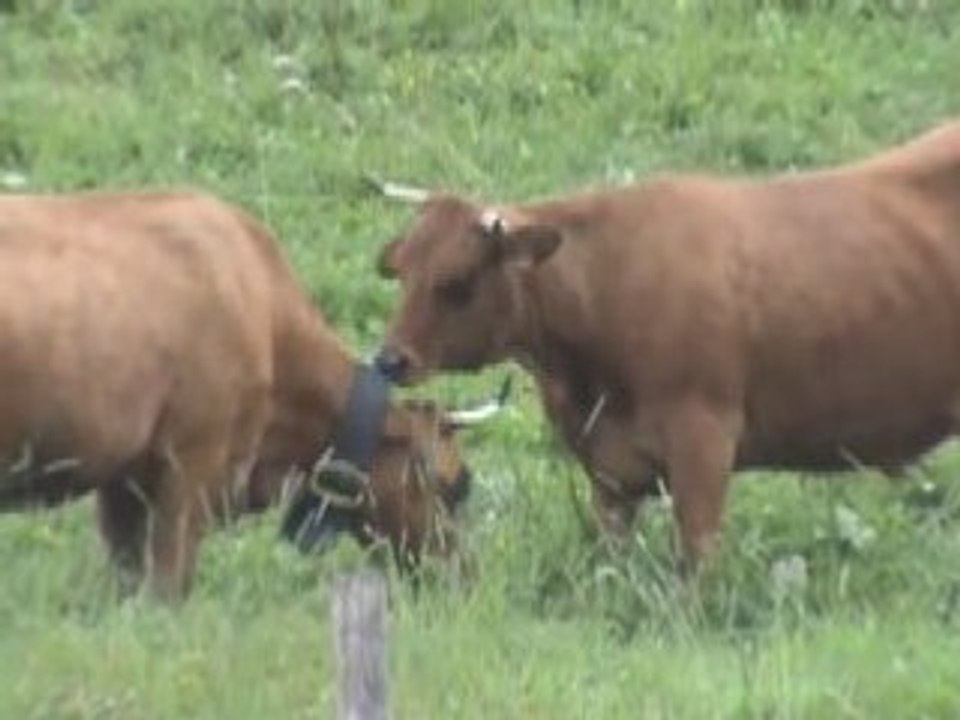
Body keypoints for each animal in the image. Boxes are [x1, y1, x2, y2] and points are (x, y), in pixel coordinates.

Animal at [372, 119, 960, 570]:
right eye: (401, 271)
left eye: (457, 282)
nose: (389, 359)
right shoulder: (607, 471)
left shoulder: (704, 443)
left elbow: (693, 564)